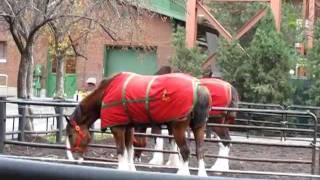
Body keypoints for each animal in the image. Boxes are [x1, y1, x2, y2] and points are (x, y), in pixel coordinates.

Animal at [63, 71, 211, 176]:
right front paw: (131, 169)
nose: (74, 156)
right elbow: (130, 149)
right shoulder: (128, 127)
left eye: (70, 135)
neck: (105, 92)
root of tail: (199, 88)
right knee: (200, 151)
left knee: (185, 151)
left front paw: (122, 169)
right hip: (198, 126)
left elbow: (121, 150)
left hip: (178, 127)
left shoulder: (117, 128)